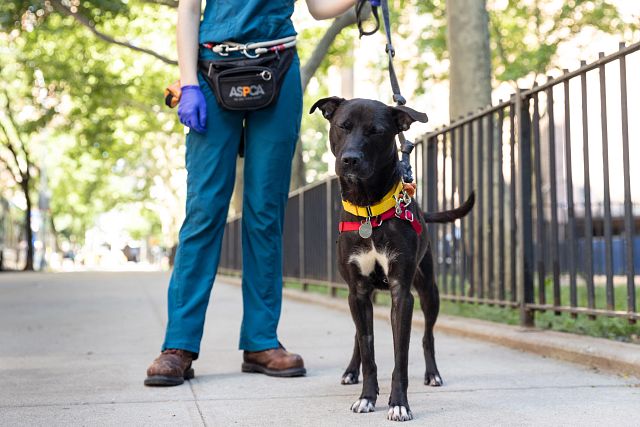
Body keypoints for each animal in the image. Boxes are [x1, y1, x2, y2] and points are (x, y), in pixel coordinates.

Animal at [310, 97, 476, 422]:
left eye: (376, 131)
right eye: (343, 126)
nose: (350, 160)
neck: (369, 209)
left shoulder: (402, 292)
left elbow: (402, 357)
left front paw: (399, 403)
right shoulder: (358, 292)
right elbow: (368, 349)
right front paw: (366, 397)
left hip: (429, 290)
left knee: (427, 337)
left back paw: (433, 374)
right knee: (359, 338)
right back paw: (351, 371)